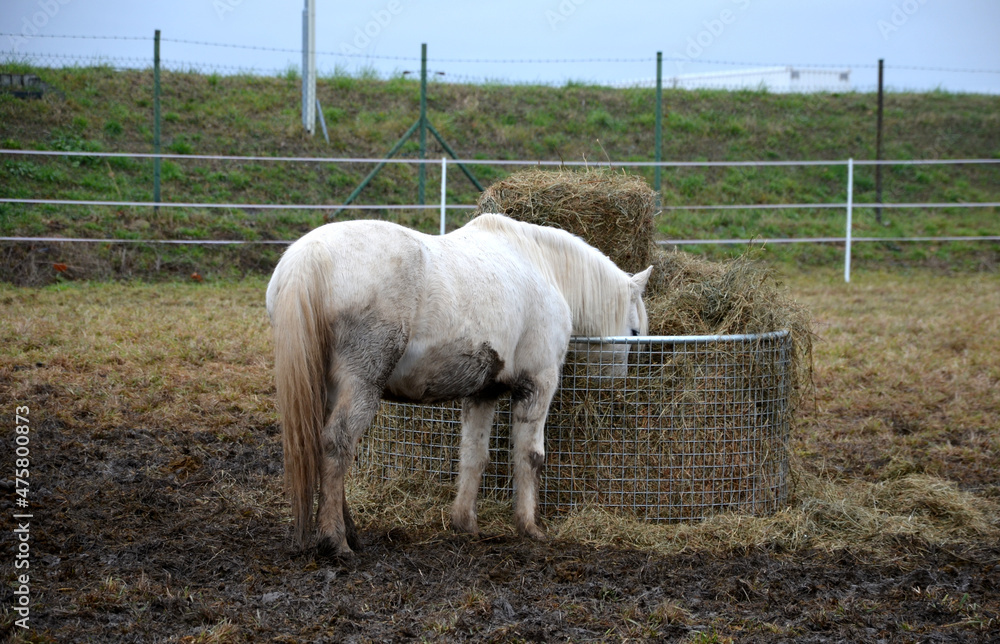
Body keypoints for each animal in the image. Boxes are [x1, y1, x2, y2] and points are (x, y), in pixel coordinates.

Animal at [266, 212, 652, 555]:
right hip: (360, 386)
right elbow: (530, 457)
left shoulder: (482, 393)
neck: (541, 265)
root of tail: (310, 255)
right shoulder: (537, 384)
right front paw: (529, 526)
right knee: (337, 444)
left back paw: (351, 533)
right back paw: (337, 540)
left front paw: (465, 522)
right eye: (633, 332)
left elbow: (473, 456)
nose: (618, 383)